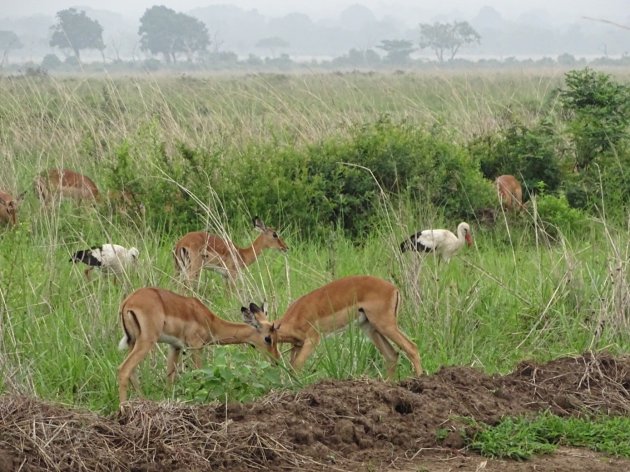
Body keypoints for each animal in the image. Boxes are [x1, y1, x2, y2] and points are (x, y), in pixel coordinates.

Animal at [117, 286, 280, 404]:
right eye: (268, 338)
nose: (276, 361)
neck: (210, 321)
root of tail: (128, 302)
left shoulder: (175, 346)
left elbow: (170, 377)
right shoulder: (196, 346)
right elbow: (200, 374)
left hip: (133, 342)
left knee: (132, 372)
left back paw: (143, 402)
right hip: (146, 341)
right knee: (124, 369)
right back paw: (124, 411)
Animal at [244, 276, 422, 380]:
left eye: (268, 338)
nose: (274, 360)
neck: (295, 317)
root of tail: (394, 288)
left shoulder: (313, 340)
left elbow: (296, 367)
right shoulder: (297, 345)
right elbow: (291, 367)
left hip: (385, 325)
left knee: (412, 347)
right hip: (370, 327)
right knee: (392, 355)